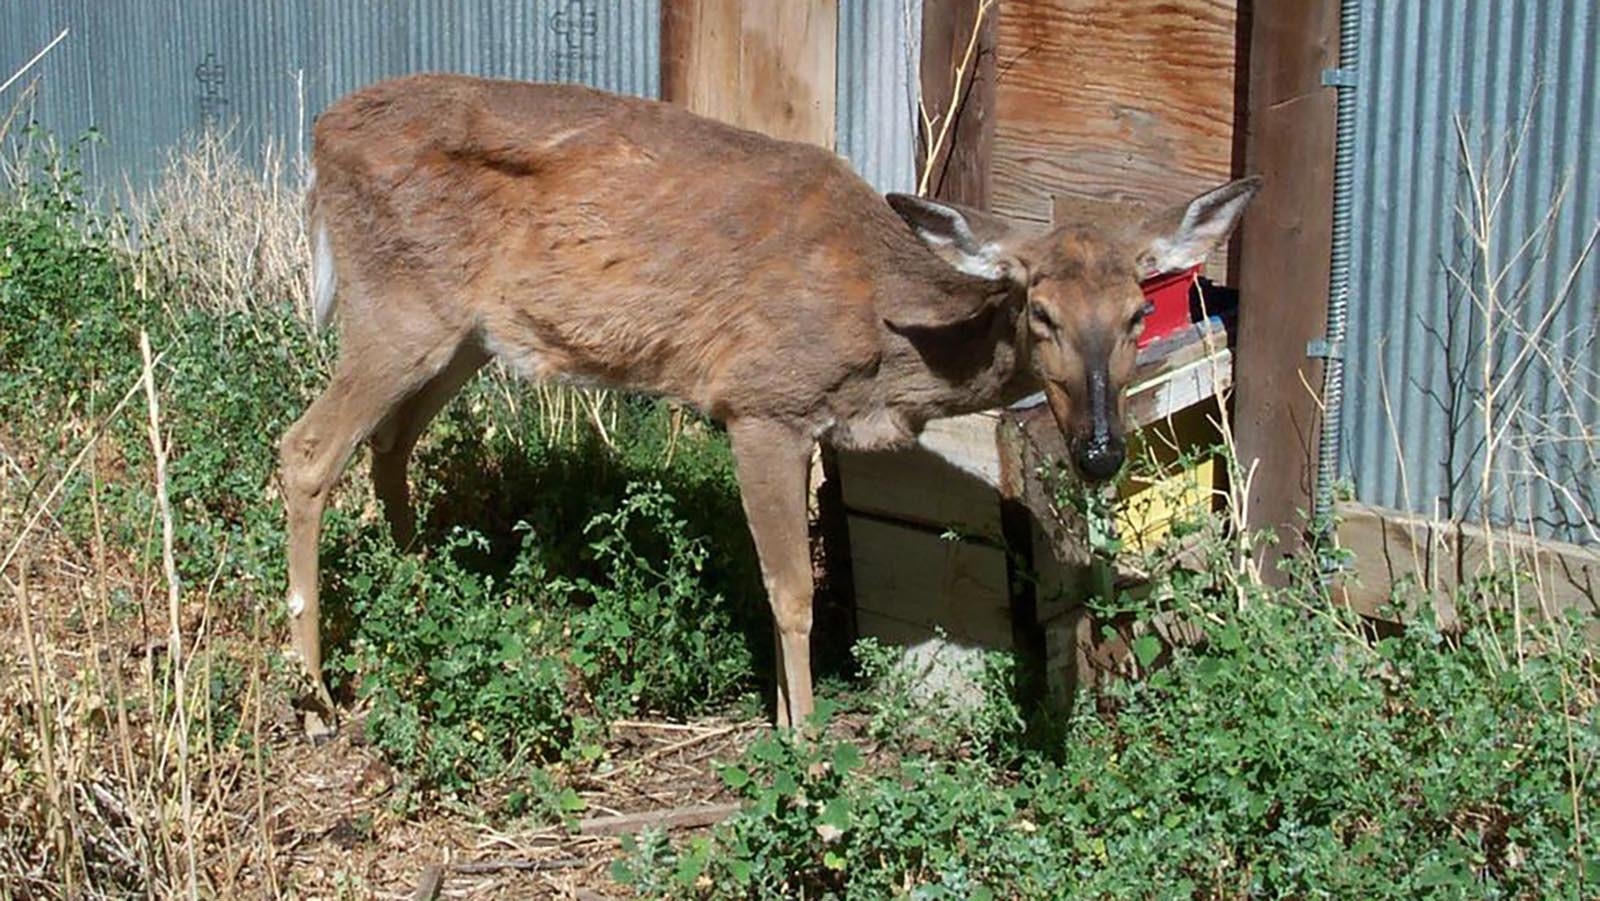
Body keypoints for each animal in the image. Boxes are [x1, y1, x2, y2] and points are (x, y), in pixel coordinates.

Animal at [284, 74, 1260, 736]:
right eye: (1040, 310)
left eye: (1136, 314)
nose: (1099, 451)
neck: (885, 335)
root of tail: (319, 137)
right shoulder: (760, 402)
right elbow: (791, 591)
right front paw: (805, 740)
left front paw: (793, 719)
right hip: (397, 308)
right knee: (306, 451)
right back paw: (319, 697)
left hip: (465, 335)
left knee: (389, 446)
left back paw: (425, 595)